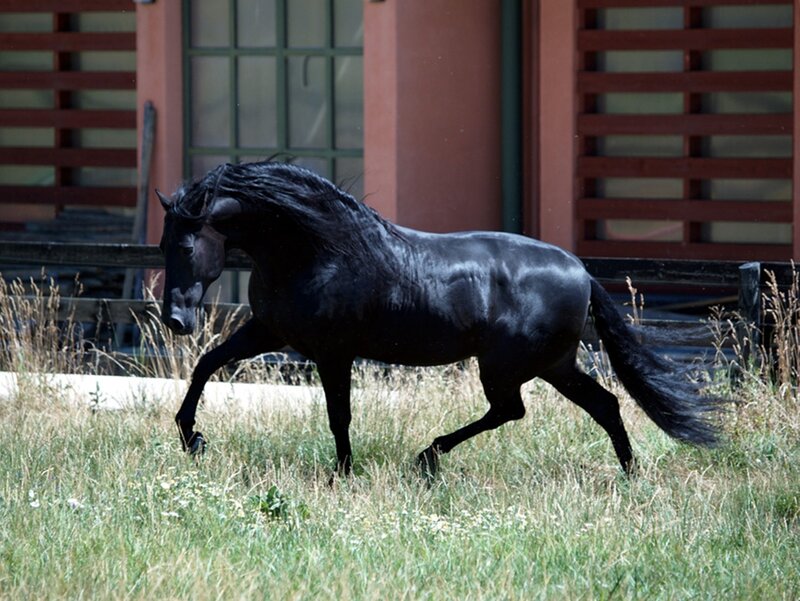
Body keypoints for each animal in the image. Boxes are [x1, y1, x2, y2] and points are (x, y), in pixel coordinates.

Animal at [157, 160, 723, 479]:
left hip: (507, 366)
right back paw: (630, 477)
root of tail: (581, 271)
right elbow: (207, 365)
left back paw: (427, 456)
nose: (177, 320)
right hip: (554, 364)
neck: (315, 249)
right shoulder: (269, 331)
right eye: (163, 245)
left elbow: (339, 415)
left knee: (512, 410)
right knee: (603, 405)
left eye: (185, 245)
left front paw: (343, 474)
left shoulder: (332, 351)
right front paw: (192, 439)